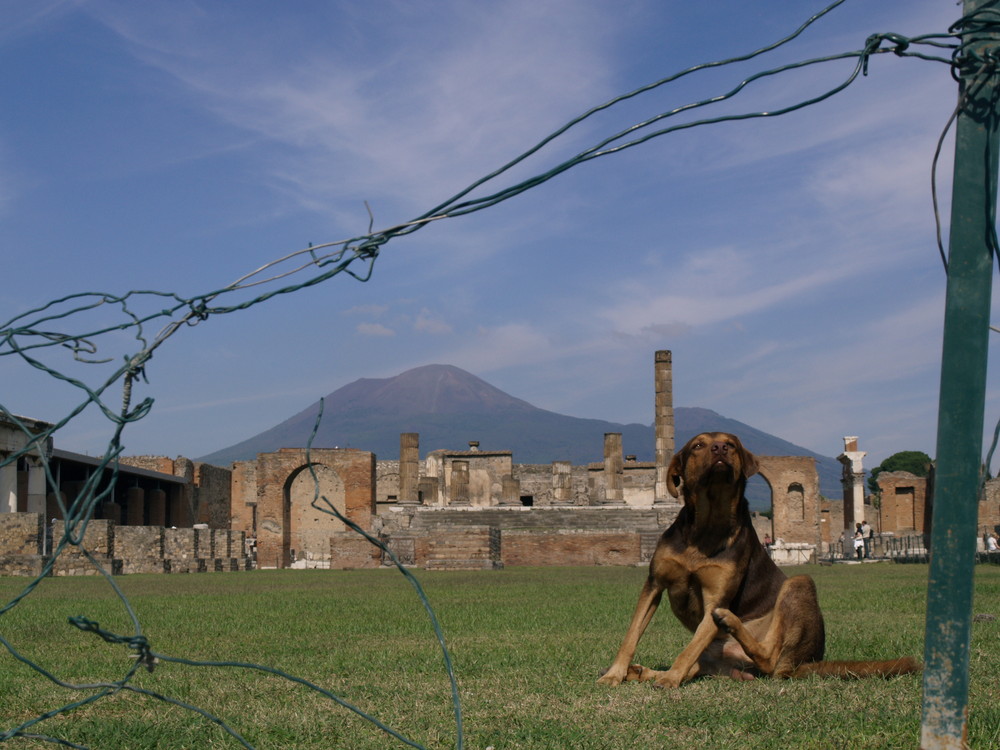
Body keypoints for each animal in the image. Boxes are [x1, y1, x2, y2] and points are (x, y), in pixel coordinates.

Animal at [596, 432, 916, 692]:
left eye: (732, 443)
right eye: (698, 445)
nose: (721, 448)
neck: (707, 527)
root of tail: (803, 663)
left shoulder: (716, 597)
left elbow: (689, 648)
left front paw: (670, 678)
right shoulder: (654, 584)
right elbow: (631, 635)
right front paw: (615, 673)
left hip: (799, 585)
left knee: (769, 659)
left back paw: (727, 624)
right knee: (703, 665)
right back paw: (641, 671)